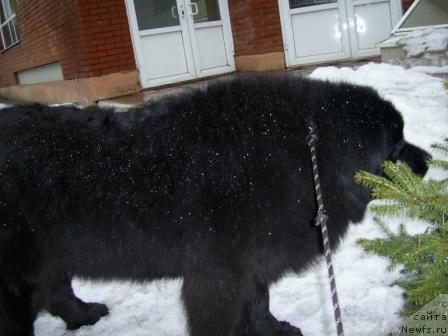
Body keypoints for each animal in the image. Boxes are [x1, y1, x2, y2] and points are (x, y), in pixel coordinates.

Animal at [0, 74, 428, 336]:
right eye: (396, 148)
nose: (428, 161)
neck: (304, 154)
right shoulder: (218, 274)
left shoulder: (250, 262)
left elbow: (259, 301)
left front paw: (272, 329)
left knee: (57, 289)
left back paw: (83, 315)